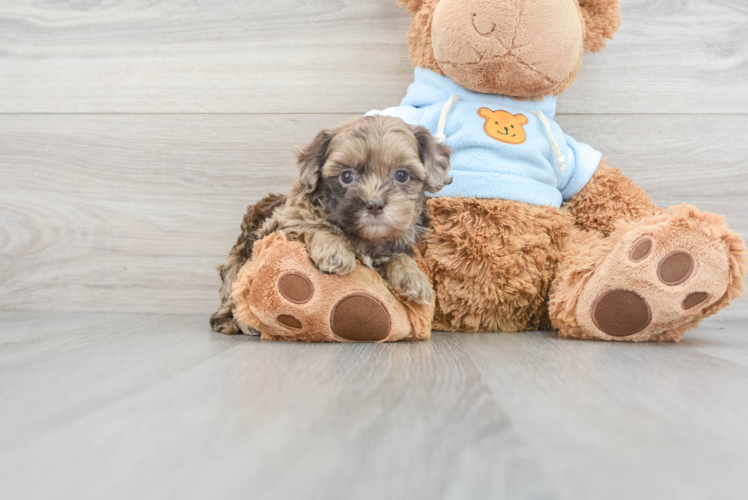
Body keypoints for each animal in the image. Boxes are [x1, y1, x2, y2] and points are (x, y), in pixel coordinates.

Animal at [209, 116, 450, 336]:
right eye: (347, 176)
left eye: (401, 175)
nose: (374, 205)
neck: (363, 237)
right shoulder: (281, 222)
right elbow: (316, 223)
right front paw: (336, 251)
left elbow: (399, 254)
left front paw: (414, 277)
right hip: (240, 253)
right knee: (233, 283)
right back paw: (232, 320)